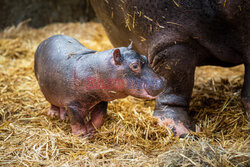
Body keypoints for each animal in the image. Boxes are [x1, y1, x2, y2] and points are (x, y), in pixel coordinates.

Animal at [34, 34, 165, 136]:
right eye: (135, 65)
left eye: (145, 57)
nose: (162, 81)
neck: (99, 68)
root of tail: (45, 40)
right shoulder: (73, 104)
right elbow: (77, 123)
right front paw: (82, 137)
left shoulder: (101, 99)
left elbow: (98, 118)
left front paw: (91, 130)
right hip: (48, 91)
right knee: (53, 103)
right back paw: (53, 114)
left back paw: (63, 116)